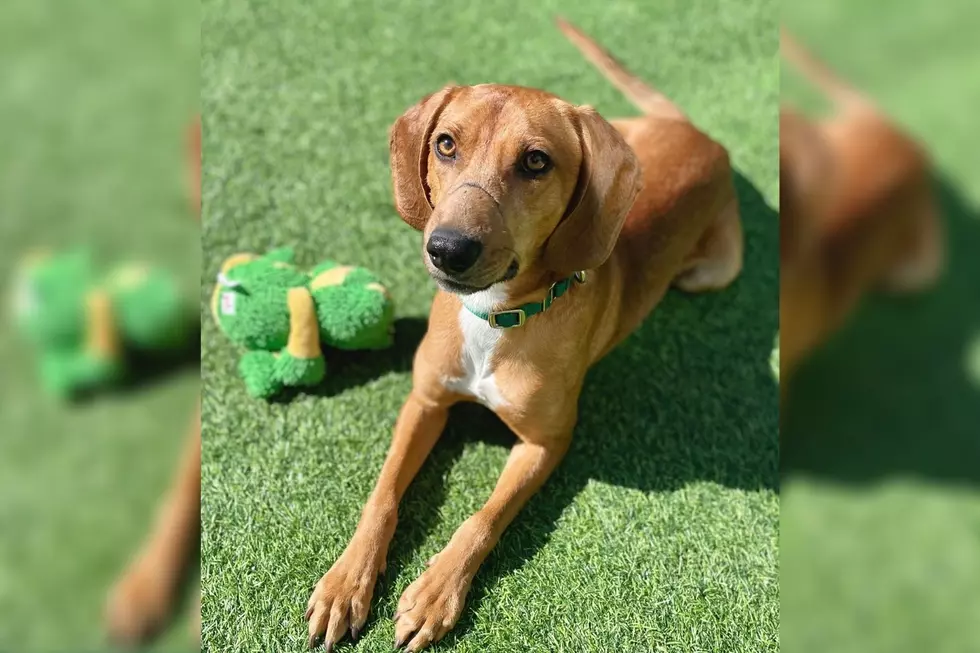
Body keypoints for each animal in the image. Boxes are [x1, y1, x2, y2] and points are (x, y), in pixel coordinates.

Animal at [306, 17, 744, 648]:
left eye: (537, 161)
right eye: (445, 144)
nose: (447, 249)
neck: (495, 317)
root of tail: (701, 136)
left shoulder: (546, 443)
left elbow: (482, 519)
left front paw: (435, 592)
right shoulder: (425, 399)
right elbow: (383, 495)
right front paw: (347, 581)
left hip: (710, 272)